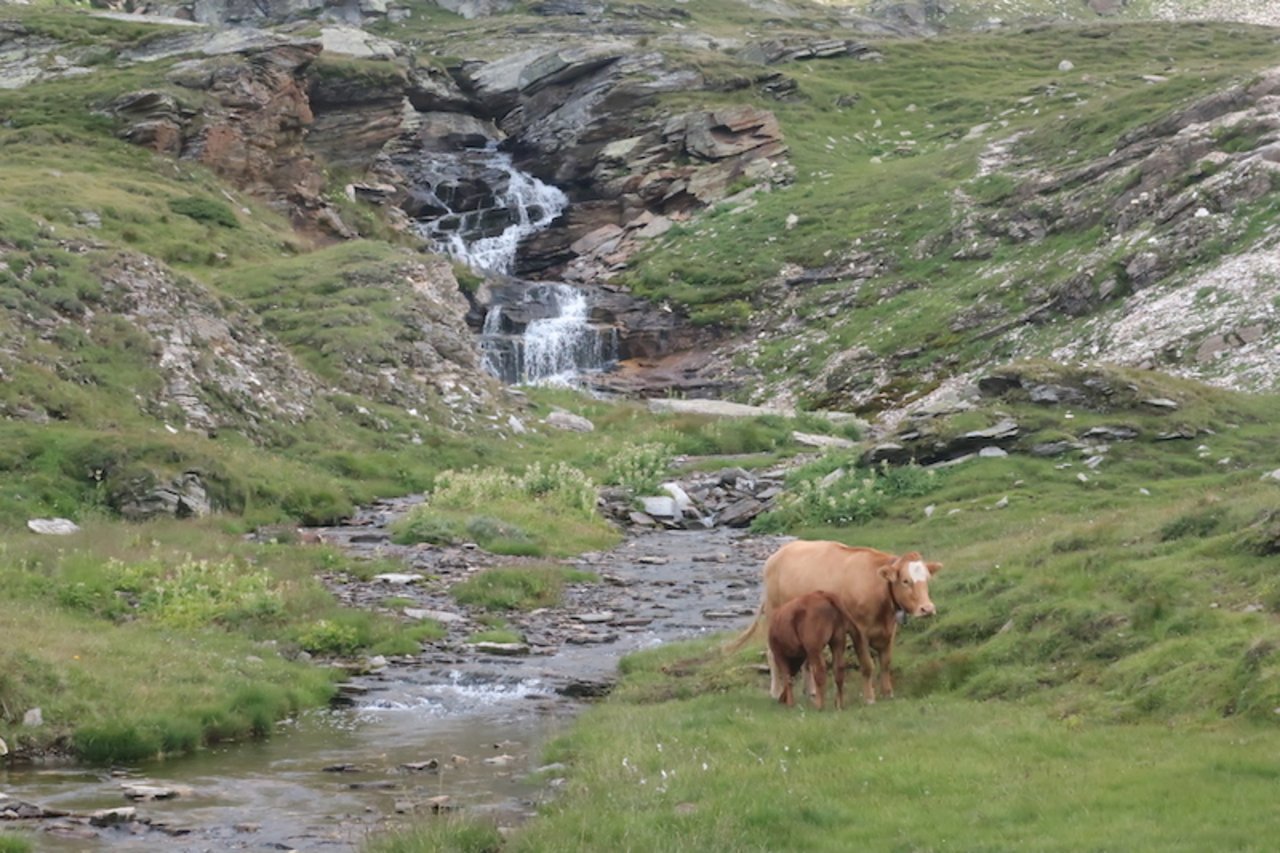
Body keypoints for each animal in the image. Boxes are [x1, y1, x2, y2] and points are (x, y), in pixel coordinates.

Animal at [732, 540, 942, 701]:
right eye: (906, 581)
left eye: (927, 579)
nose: (927, 608)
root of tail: (776, 555)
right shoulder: (858, 631)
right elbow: (867, 665)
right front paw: (870, 698)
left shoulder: (889, 630)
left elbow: (886, 663)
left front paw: (888, 693)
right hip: (774, 616)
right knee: (772, 654)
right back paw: (776, 692)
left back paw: (811, 691)